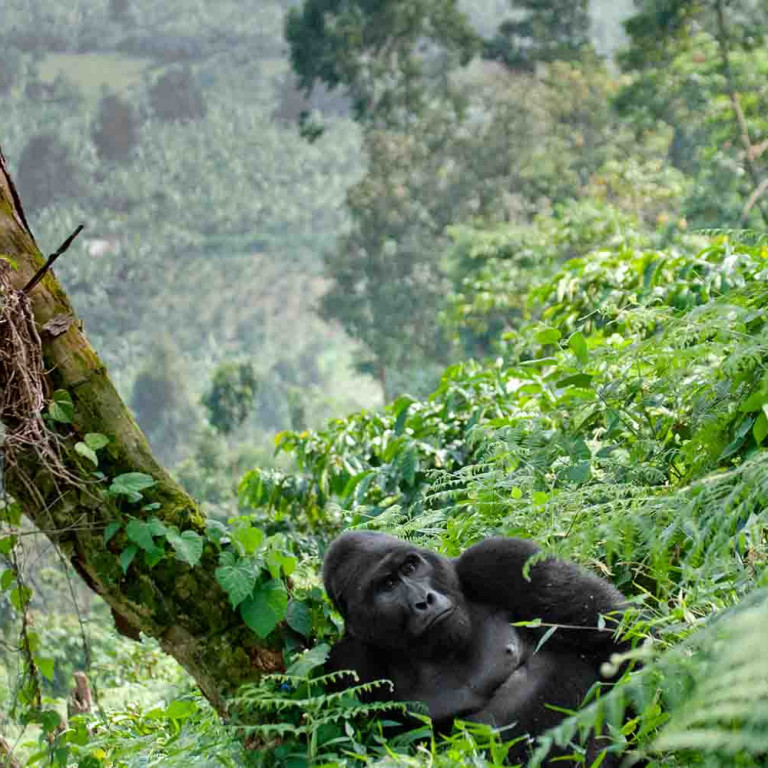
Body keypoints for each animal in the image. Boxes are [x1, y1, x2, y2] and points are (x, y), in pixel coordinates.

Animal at [324, 532, 632, 764]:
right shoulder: (349, 663)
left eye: (410, 568)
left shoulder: (499, 559)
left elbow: (617, 634)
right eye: (387, 585)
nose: (424, 600)